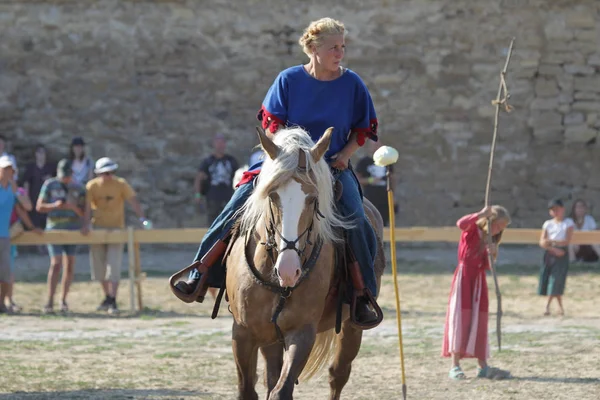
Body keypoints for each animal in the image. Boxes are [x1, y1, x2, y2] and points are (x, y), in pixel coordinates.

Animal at [224, 126, 384, 400]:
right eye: (272, 195)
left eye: (312, 199)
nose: (288, 270)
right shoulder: (243, 333)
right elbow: (249, 390)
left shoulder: (301, 333)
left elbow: (281, 391)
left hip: (351, 327)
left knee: (337, 374)